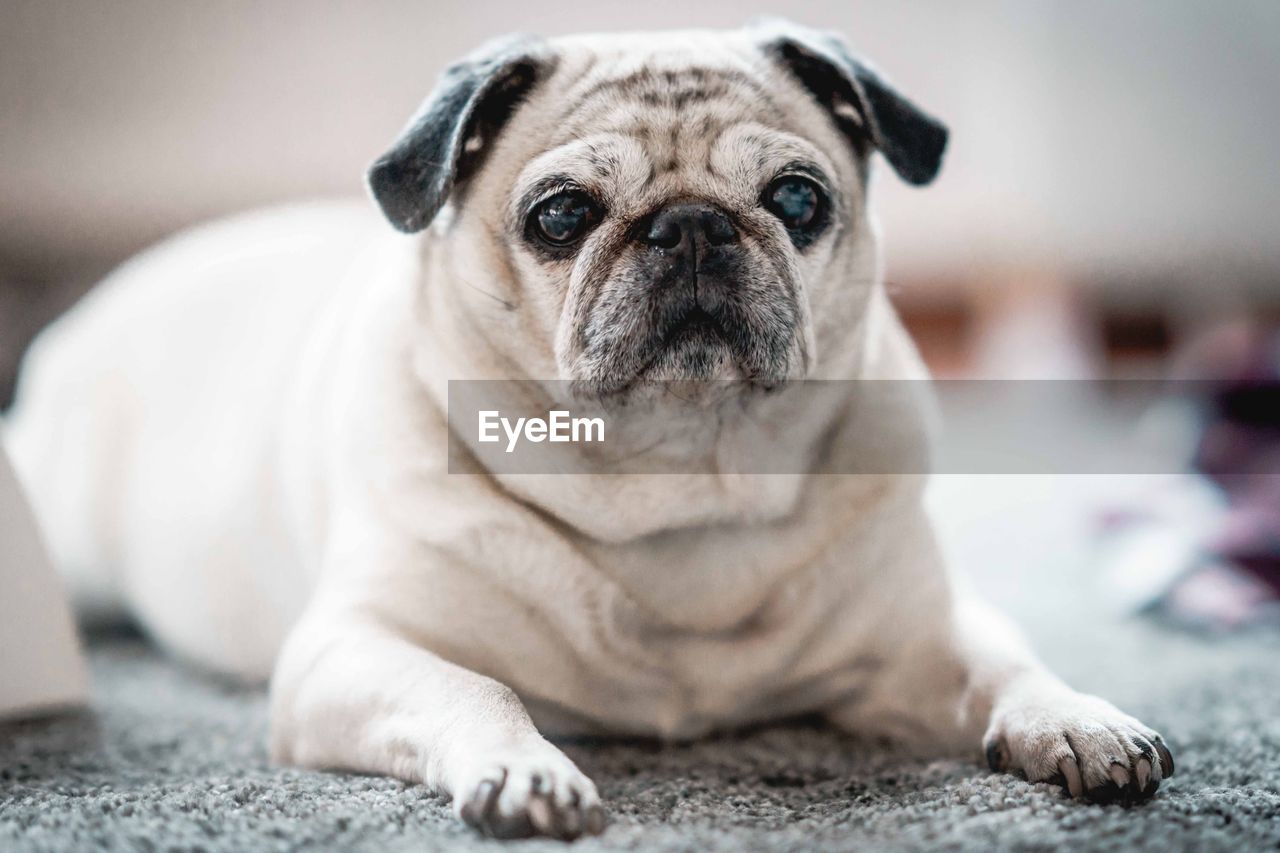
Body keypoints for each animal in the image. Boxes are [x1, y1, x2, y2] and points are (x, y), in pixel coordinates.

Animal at [7, 18, 1172, 835]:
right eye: (561, 215)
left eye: (797, 200)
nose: (692, 225)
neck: (677, 480)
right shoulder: (347, 650)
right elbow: (473, 683)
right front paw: (524, 768)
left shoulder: (919, 638)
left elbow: (1007, 662)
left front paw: (1077, 718)